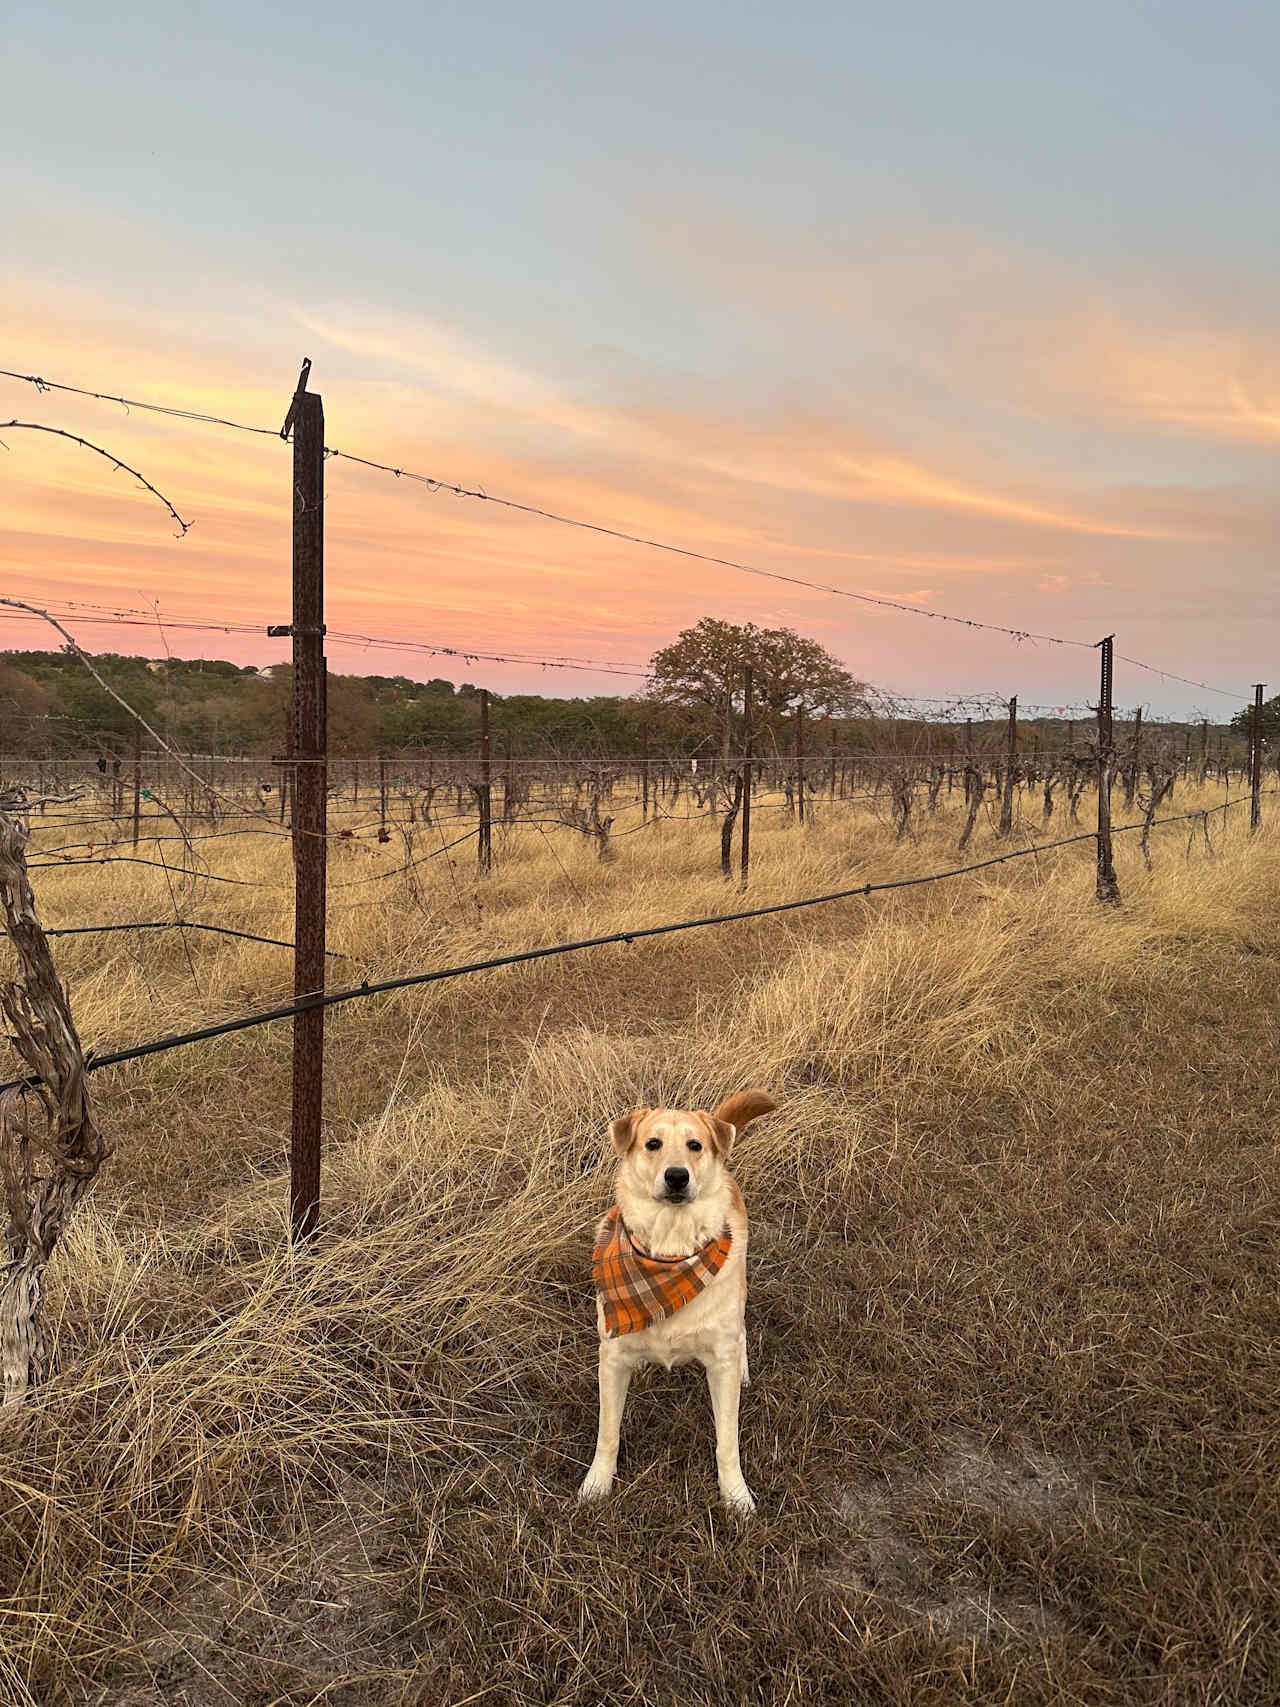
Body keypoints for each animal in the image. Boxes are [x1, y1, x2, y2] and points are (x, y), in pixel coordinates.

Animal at [583, 1085, 781, 1515]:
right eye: (652, 1144)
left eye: (695, 1145)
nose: (677, 1176)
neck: (670, 1251)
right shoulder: (612, 1358)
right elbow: (608, 1433)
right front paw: (597, 1484)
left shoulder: (719, 1362)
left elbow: (728, 1442)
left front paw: (735, 1494)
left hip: (739, 1286)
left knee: (741, 1329)